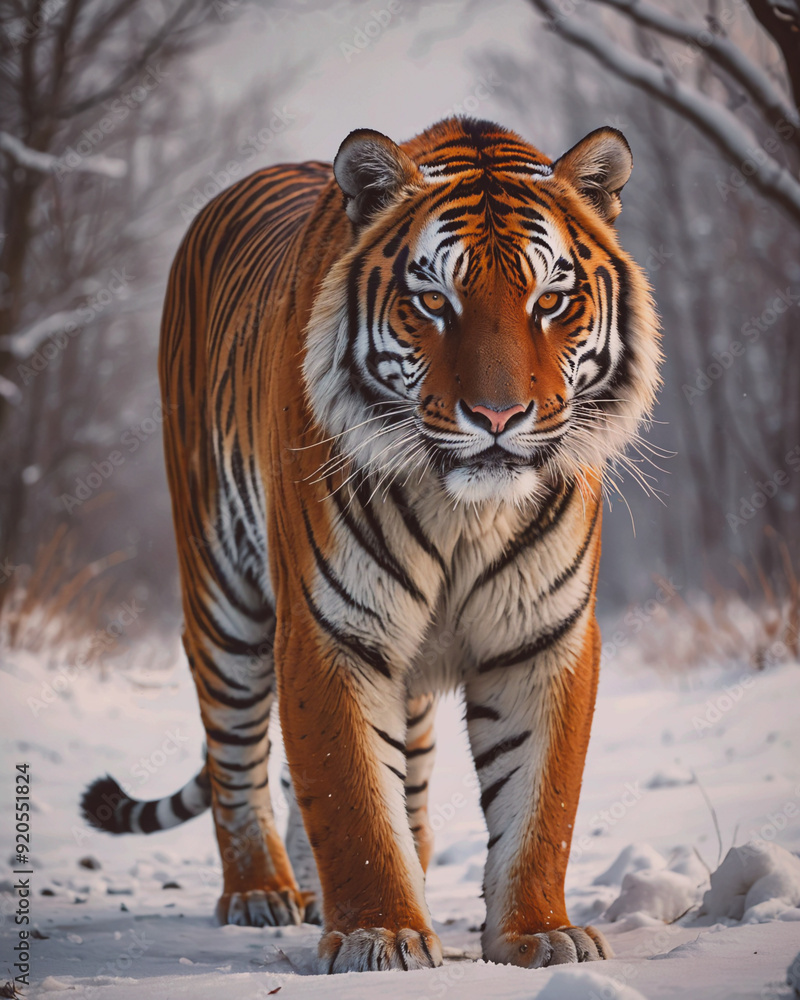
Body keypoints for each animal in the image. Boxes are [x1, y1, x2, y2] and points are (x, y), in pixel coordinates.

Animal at [82, 117, 661, 974]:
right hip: (224, 599)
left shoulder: (541, 636)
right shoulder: (328, 631)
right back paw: (260, 892)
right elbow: (350, 794)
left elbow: (539, 802)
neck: (463, 512)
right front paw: (380, 933)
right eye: (434, 301)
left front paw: (538, 934)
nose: (499, 417)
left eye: (551, 300)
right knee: (237, 759)